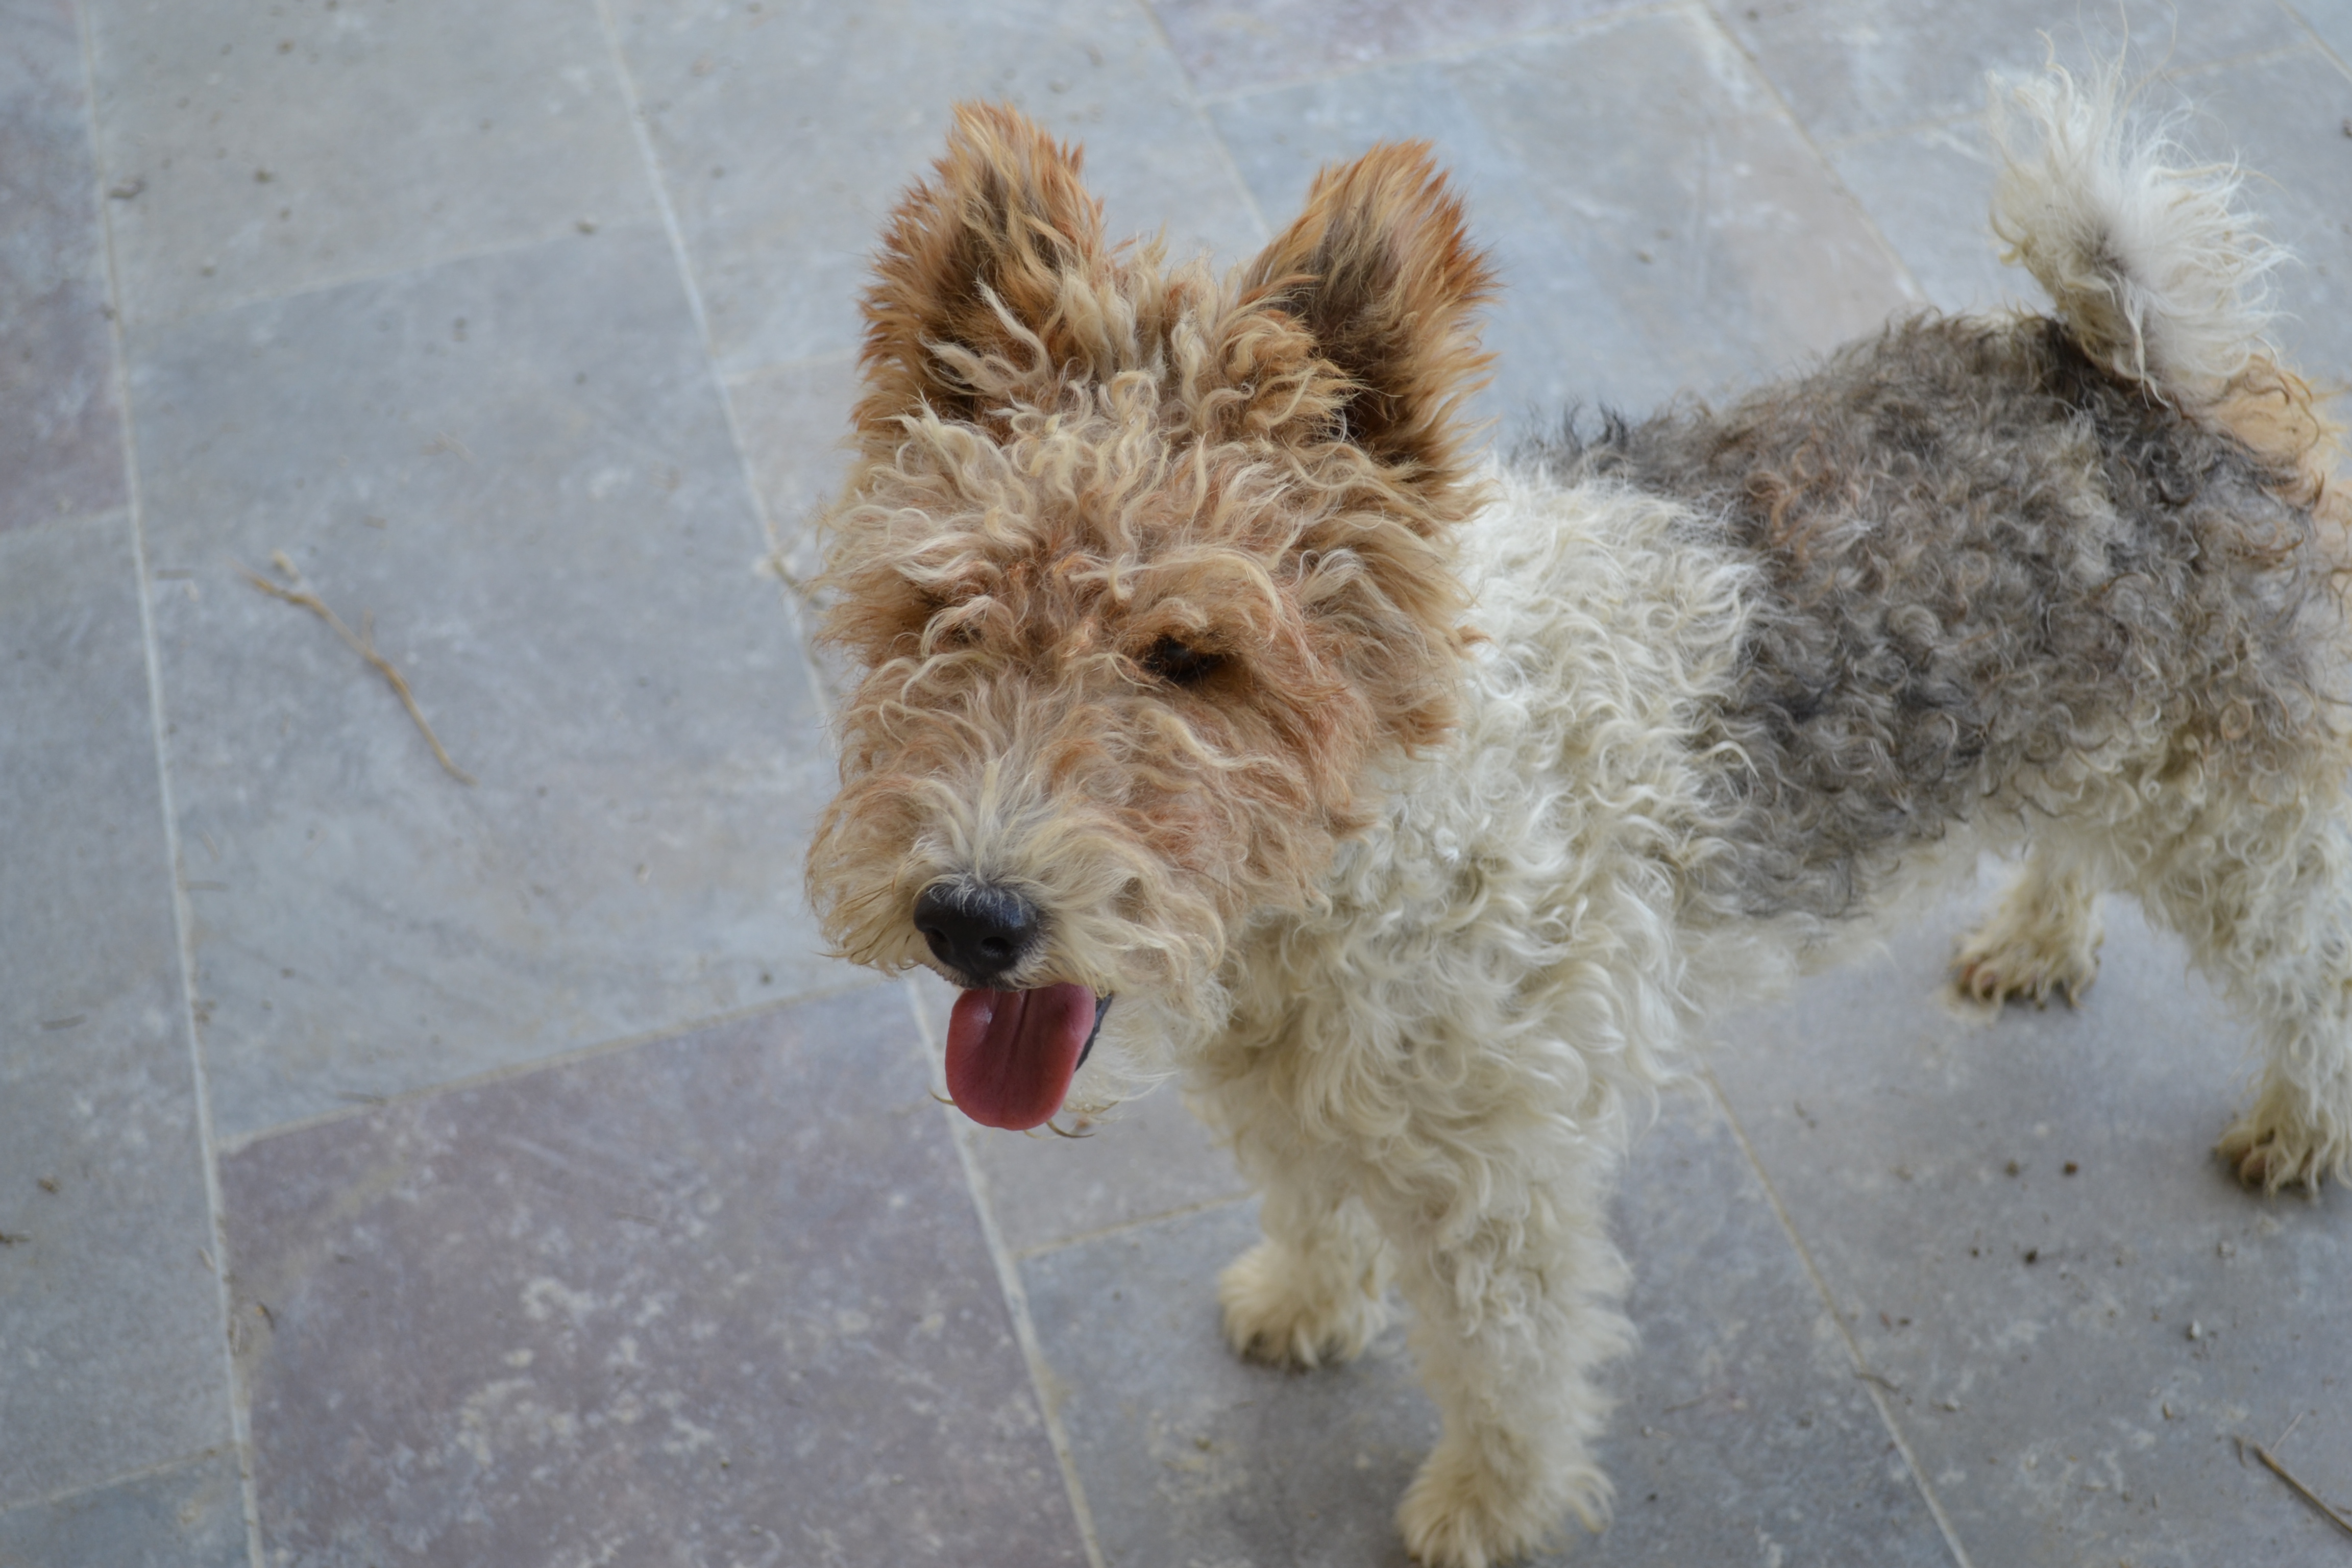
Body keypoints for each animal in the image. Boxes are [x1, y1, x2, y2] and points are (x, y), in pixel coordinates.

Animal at [802, 67, 2350, 1566]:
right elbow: (1309, 1205)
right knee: (2079, 846)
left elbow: (1508, 1373)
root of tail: (2150, 373)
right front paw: (1302, 1307)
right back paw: (2035, 942)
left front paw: (1485, 1513)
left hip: (2239, 832)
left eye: (1194, 656)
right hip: (2097, 760)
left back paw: (2296, 1136)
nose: (970, 917)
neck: (1383, 835)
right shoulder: (1305, 1099)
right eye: (938, 610)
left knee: (2318, 981)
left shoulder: (1499, 1183)